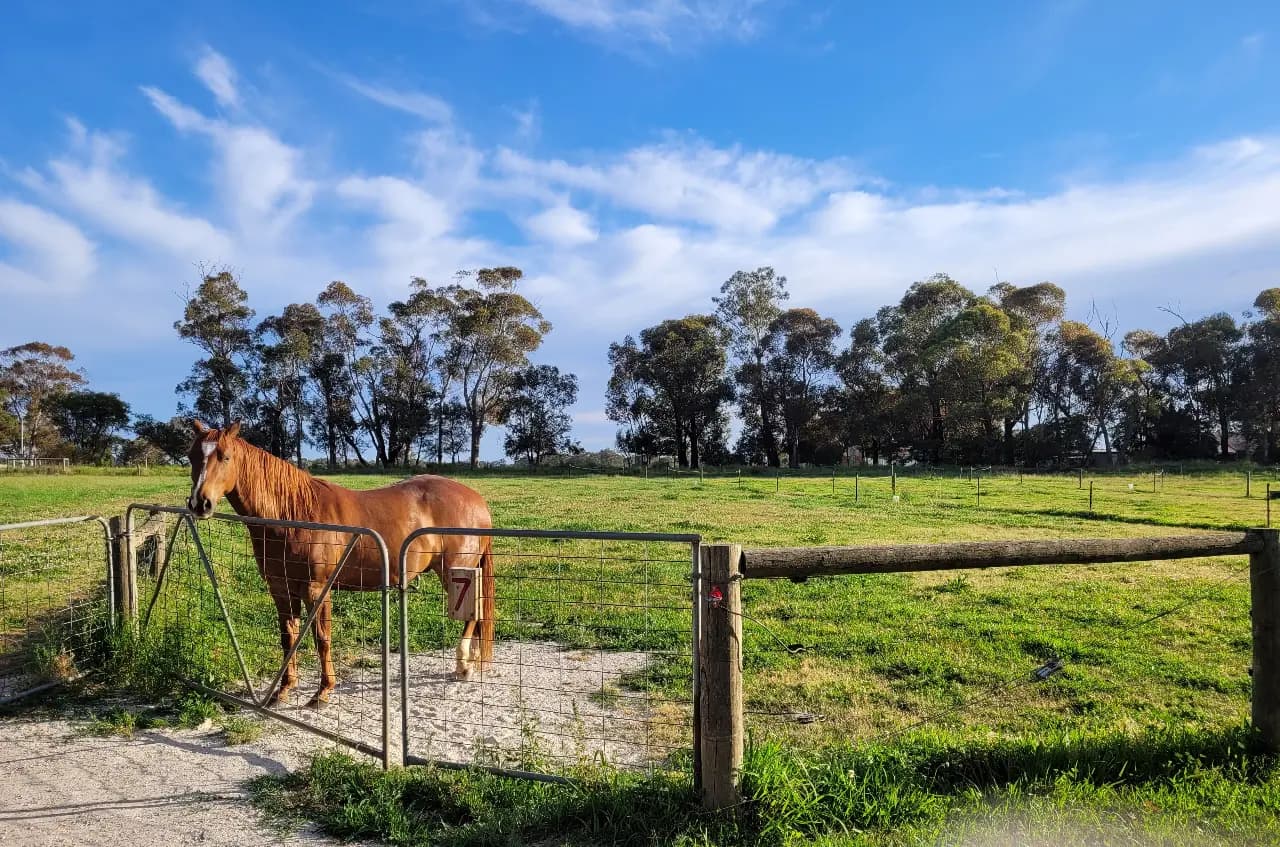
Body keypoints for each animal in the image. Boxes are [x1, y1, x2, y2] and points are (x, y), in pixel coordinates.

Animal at [185, 420, 495, 708]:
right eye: (191, 456)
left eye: (225, 456)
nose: (200, 504)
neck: (293, 516)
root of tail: (477, 501)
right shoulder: (281, 589)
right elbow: (288, 637)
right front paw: (284, 689)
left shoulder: (316, 590)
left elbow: (322, 638)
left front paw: (323, 692)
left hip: (457, 574)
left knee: (471, 615)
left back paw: (464, 665)